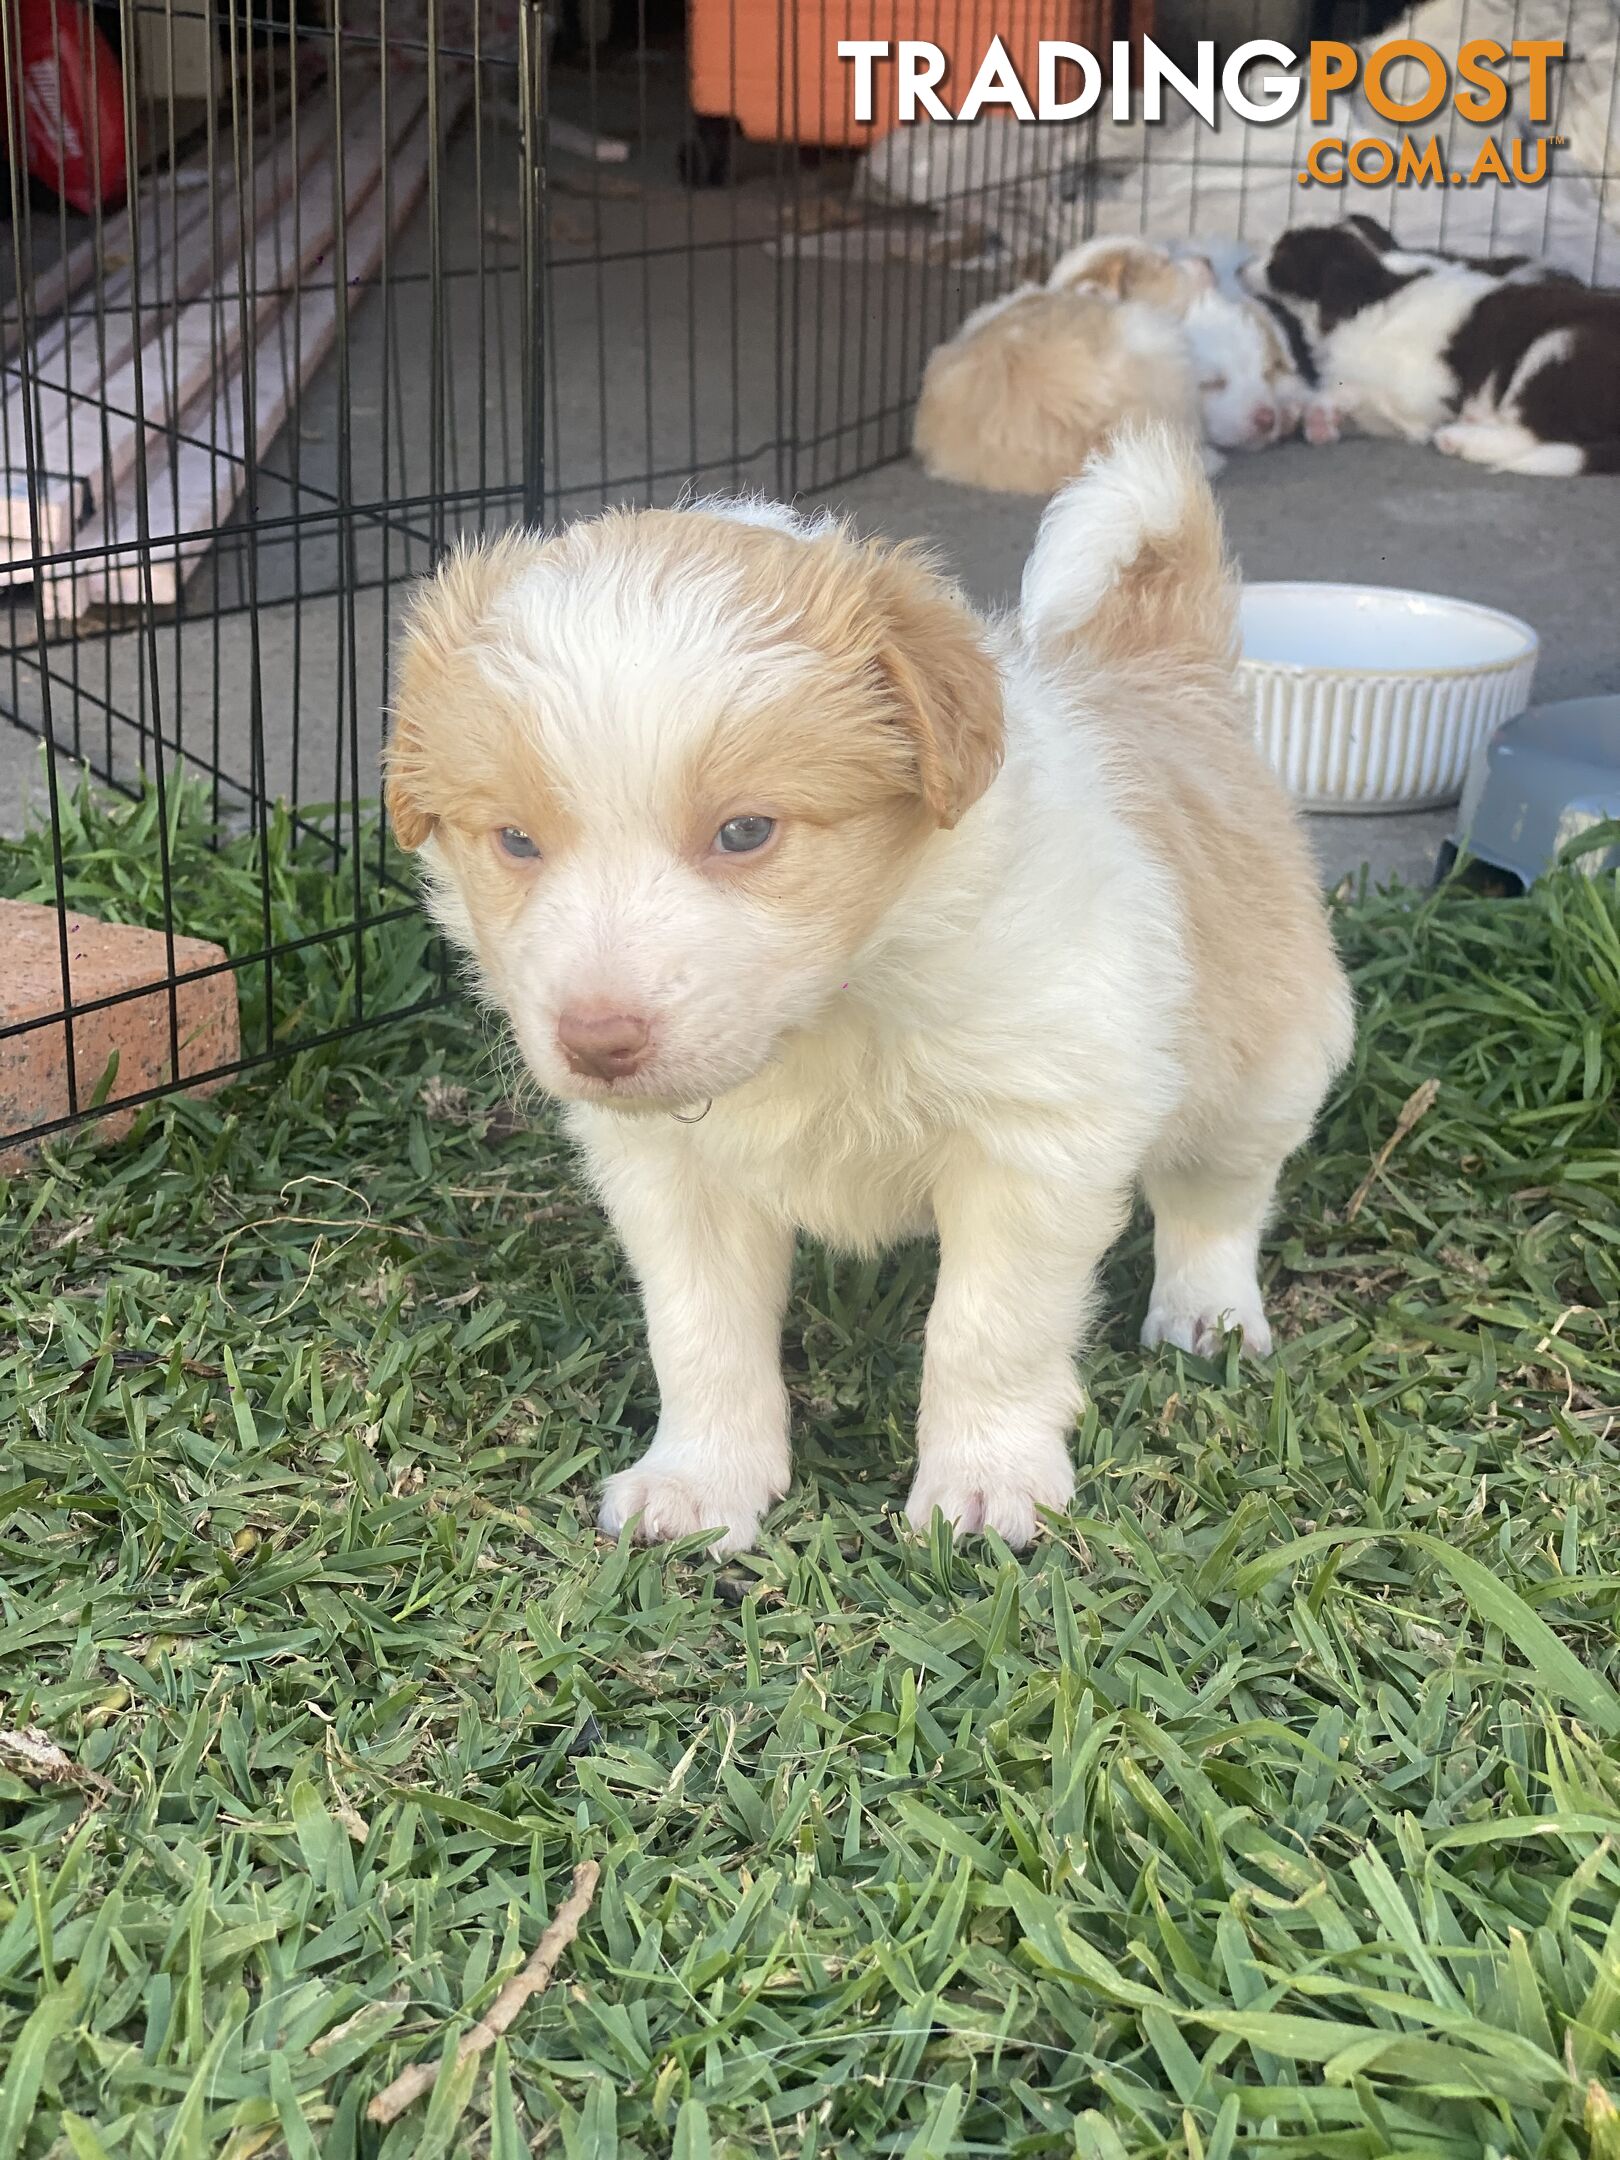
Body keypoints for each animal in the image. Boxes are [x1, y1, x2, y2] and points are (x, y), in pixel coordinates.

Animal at [386, 429, 1347, 1563]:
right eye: (515, 841)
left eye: (746, 832)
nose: (598, 1042)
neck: (833, 1006)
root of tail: (1165, 666)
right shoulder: (674, 1174)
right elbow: (700, 1332)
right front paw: (701, 1483)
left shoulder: (1038, 1136)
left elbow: (985, 1329)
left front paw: (985, 1486)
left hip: (1261, 1060)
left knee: (1218, 1199)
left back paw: (1207, 1316)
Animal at [1252, 212, 1615, 475]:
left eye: (1277, 258)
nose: (1242, 265)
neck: (1375, 291)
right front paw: (1319, 421)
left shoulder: (1419, 393)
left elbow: (1346, 390)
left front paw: (1318, 416)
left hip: (1556, 347)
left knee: (1533, 432)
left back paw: (1460, 439)